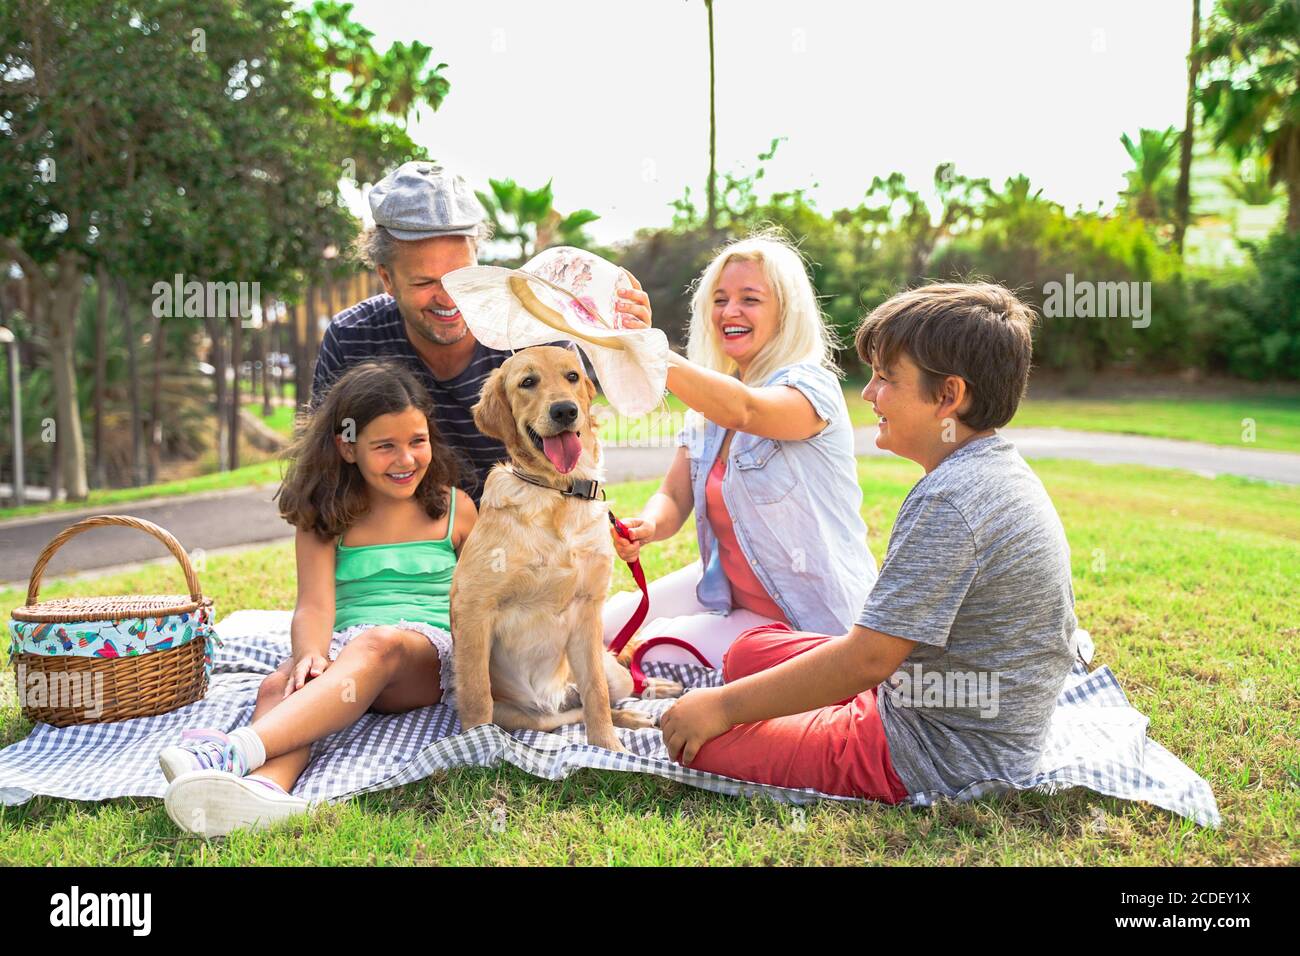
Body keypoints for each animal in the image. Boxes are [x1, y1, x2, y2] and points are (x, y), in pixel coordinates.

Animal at [449, 348, 681, 749]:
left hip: (609, 671)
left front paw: (608, 748)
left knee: (611, 692)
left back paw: (651, 695)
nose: (564, 411)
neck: (559, 492)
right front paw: (475, 750)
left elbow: (596, 695)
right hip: (527, 716)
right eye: (527, 382)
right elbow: (477, 699)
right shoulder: (475, 608)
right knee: (563, 716)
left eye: (572, 376)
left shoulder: (588, 609)